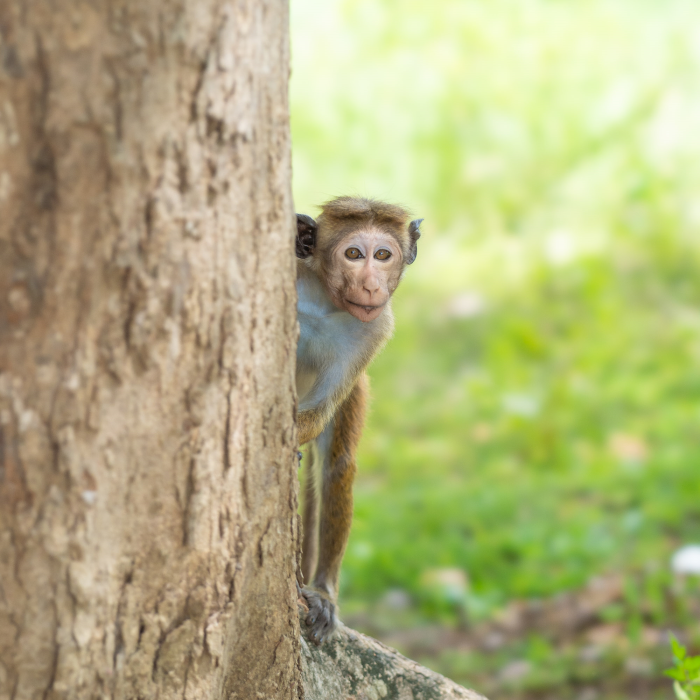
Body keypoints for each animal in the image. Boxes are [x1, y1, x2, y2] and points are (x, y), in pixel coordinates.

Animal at [294, 197, 424, 644]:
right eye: (354, 254)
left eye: (382, 255)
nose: (371, 286)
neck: (325, 303)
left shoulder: (375, 329)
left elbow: (316, 418)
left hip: (357, 392)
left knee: (337, 464)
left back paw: (322, 591)